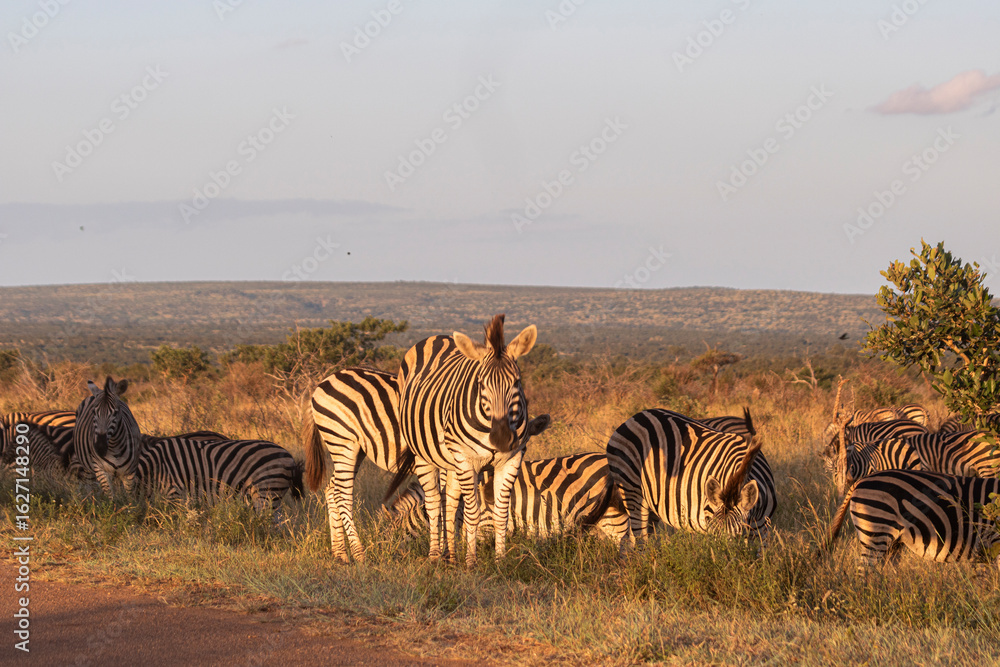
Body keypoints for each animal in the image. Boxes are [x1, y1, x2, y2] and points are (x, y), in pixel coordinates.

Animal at [304, 367, 408, 563]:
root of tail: (322, 382)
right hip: (343, 441)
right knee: (341, 493)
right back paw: (359, 554)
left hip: (354, 449)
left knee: (331, 488)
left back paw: (340, 553)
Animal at [393, 313, 538, 565]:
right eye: (480, 384)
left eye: (516, 382)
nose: (501, 438)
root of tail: (438, 337)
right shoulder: (466, 459)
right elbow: (472, 513)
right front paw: (471, 561)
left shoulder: (512, 459)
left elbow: (500, 513)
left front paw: (500, 561)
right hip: (425, 456)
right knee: (433, 503)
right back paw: (435, 556)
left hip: (450, 462)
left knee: (449, 502)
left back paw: (451, 557)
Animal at [606, 408, 776, 550]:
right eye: (713, 537)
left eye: (737, 537)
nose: (723, 563)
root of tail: (635, 416)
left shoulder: (762, 528)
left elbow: (761, 558)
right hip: (631, 489)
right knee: (640, 539)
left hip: (651, 500)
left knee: (633, 536)